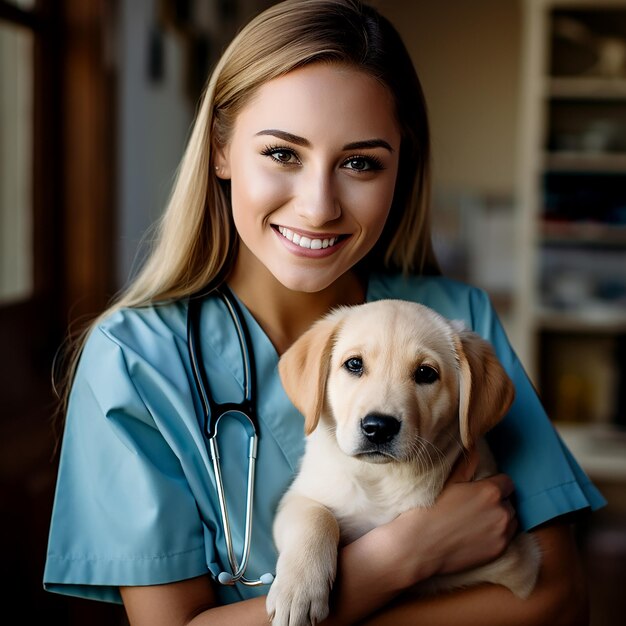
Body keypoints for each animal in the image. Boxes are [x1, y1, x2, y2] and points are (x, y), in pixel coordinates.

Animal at [266, 298, 540, 624]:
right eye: (354, 364)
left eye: (426, 373)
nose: (378, 427)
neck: (382, 478)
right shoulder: (300, 495)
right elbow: (316, 517)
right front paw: (298, 592)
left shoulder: (518, 566)